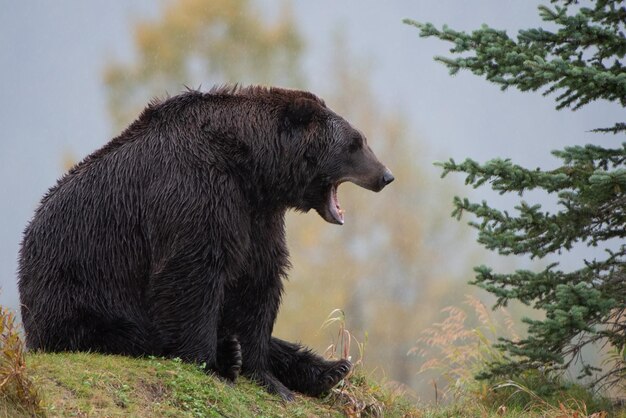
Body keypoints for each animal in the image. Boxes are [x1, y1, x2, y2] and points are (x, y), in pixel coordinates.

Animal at [19, 84, 392, 398]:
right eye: (355, 143)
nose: (385, 176)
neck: (252, 167)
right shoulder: (198, 195)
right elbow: (192, 276)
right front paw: (213, 362)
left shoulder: (256, 215)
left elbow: (258, 281)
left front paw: (265, 372)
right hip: (81, 289)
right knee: (127, 335)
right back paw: (228, 354)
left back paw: (330, 368)